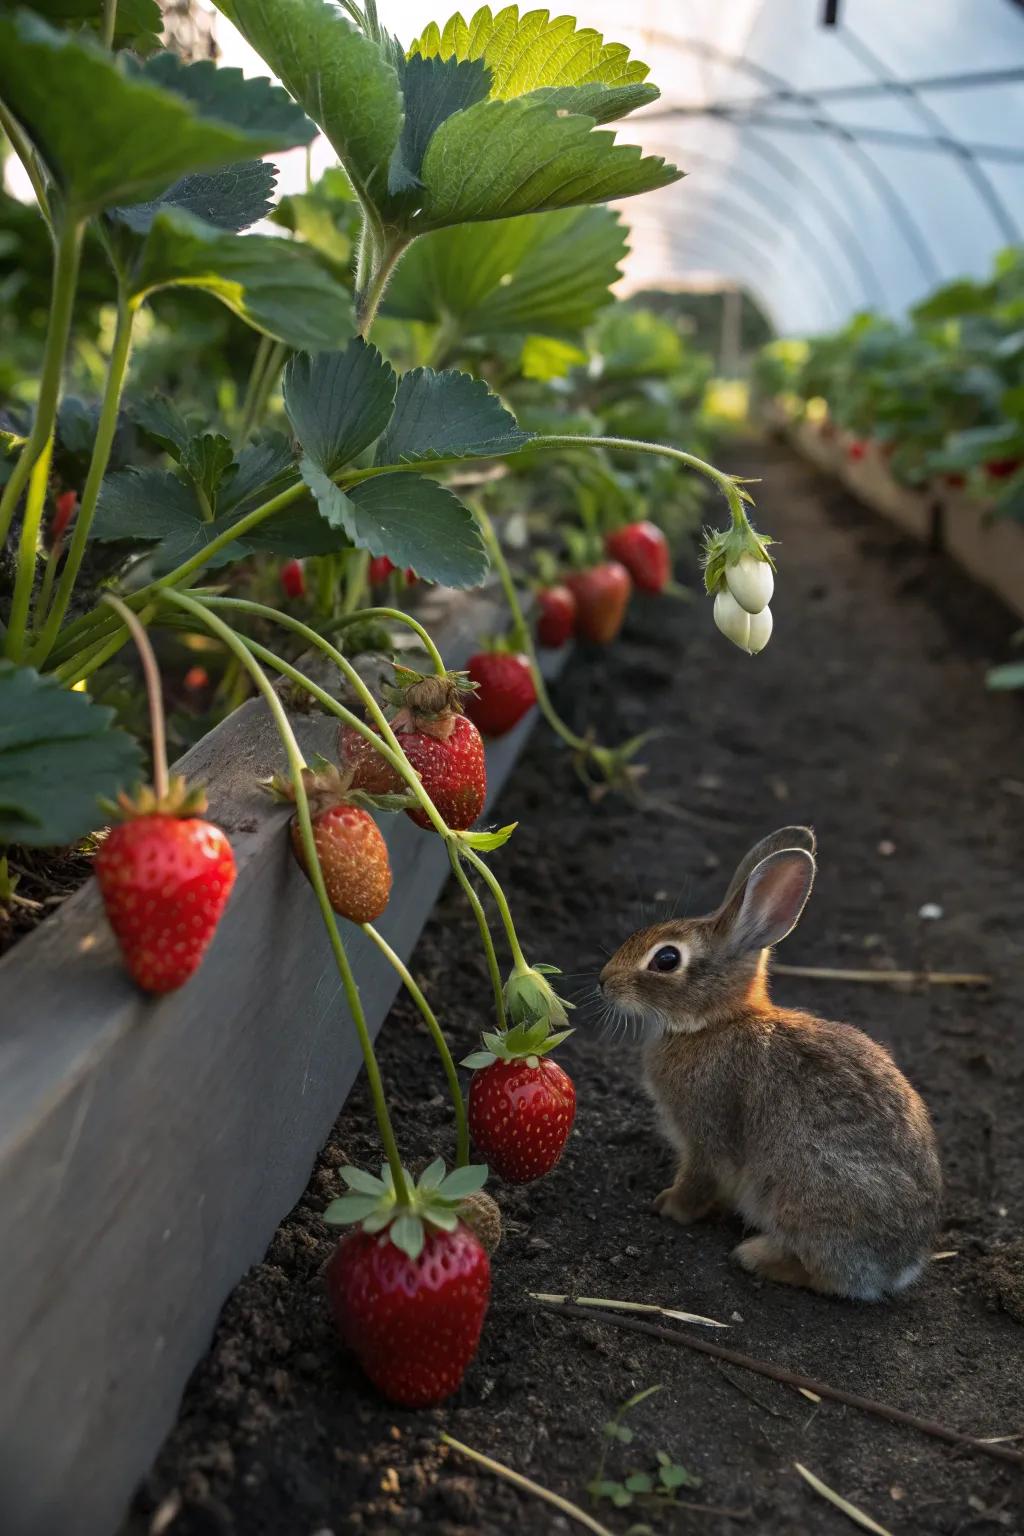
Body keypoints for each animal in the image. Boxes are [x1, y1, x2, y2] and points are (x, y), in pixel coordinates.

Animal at [599, 827, 942, 1301]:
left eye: (666, 959)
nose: (604, 982)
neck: (715, 1023)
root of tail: (901, 1267)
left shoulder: (706, 1134)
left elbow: (699, 1177)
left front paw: (669, 1207)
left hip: (802, 1197)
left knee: (826, 1275)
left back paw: (755, 1256)